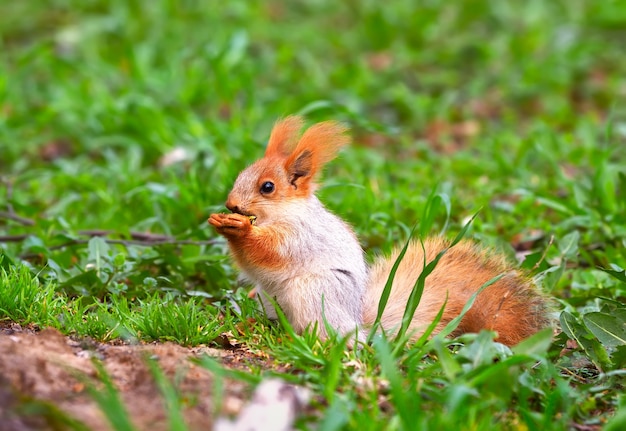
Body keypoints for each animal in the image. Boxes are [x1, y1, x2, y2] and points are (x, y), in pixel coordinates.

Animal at [207, 117, 548, 348]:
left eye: (268, 187)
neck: (281, 213)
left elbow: (269, 252)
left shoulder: (299, 235)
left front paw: (239, 229)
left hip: (314, 293)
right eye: (241, 173)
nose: (230, 204)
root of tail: (359, 324)